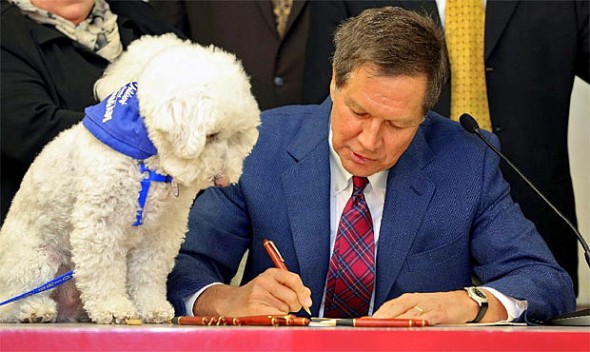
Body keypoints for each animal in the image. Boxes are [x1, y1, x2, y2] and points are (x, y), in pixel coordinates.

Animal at [0, 34, 262, 324]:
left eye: (236, 137)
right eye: (212, 135)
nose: (224, 180)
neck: (148, 159)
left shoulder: (161, 232)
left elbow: (149, 274)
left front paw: (152, 307)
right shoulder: (101, 223)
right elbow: (103, 271)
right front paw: (113, 308)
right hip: (35, 261)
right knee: (13, 302)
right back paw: (35, 310)